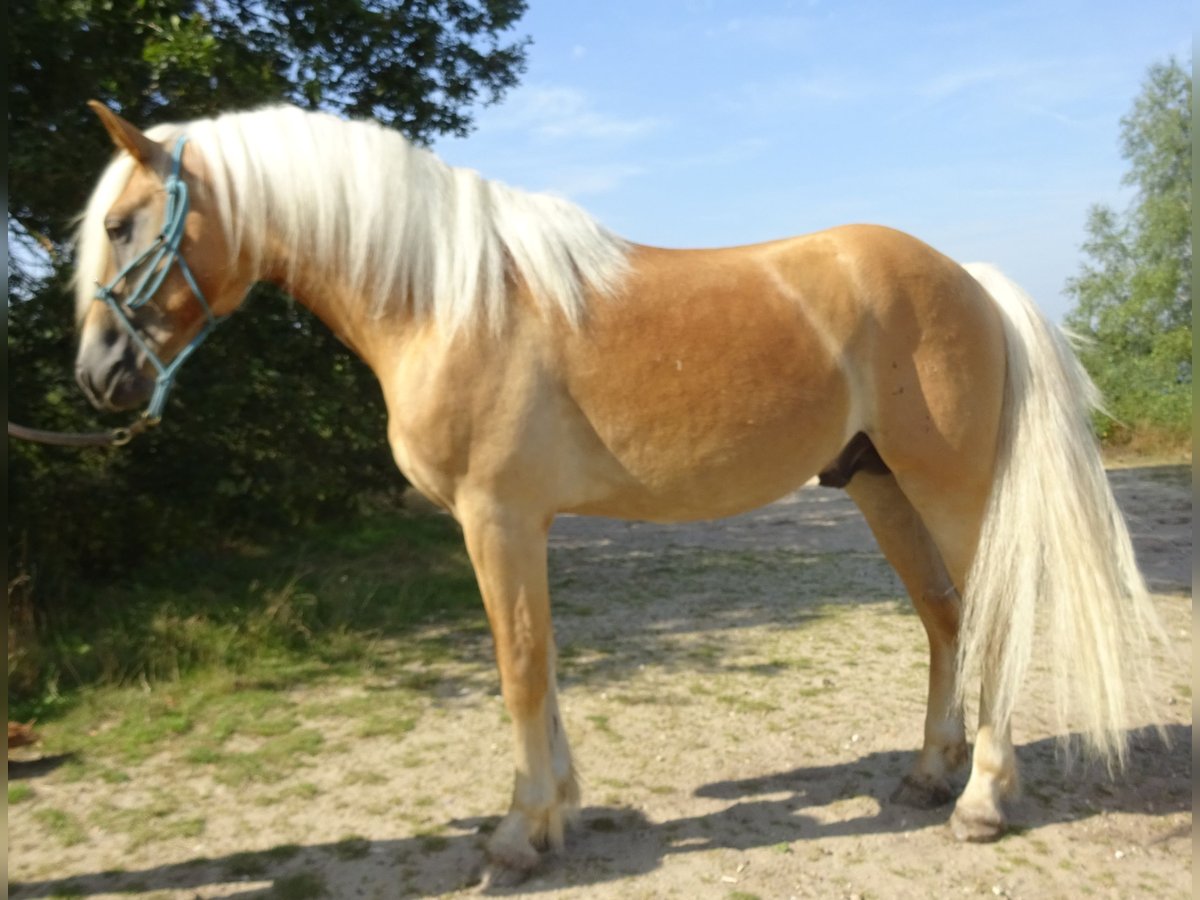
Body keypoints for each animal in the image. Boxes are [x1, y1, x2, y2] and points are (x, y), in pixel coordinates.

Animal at [73, 101, 1162, 880]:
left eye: (124, 226)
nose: (98, 377)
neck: (447, 301)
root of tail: (971, 279)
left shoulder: (499, 521)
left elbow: (519, 668)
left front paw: (519, 836)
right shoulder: (516, 528)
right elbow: (543, 665)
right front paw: (557, 811)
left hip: (949, 490)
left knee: (993, 622)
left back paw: (981, 801)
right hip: (881, 489)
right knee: (945, 621)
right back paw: (930, 777)